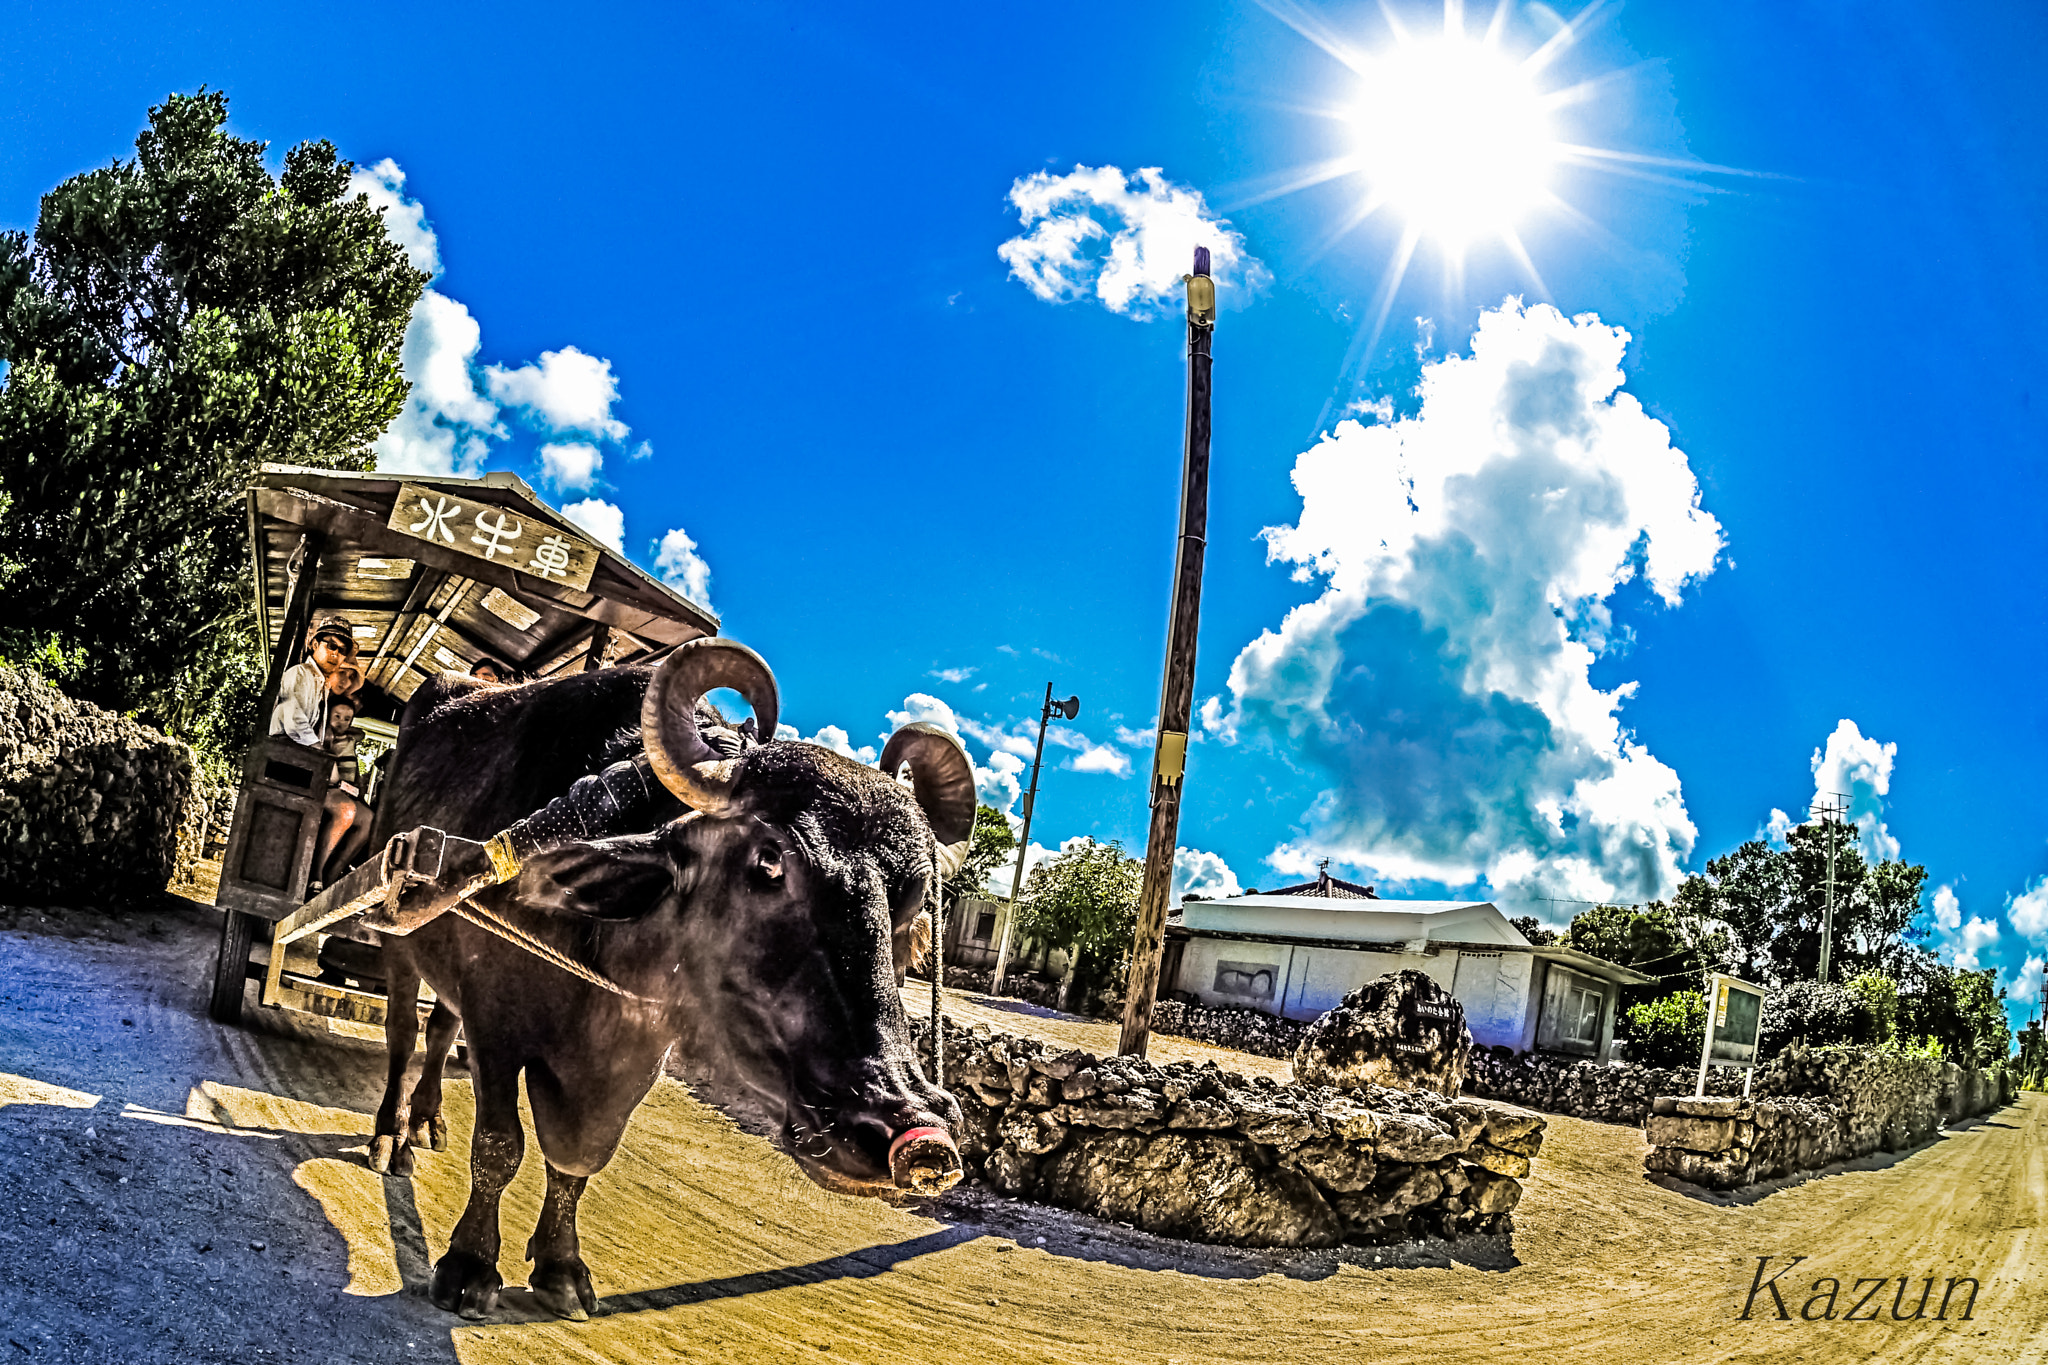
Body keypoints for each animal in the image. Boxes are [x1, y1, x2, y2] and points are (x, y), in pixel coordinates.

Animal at [366, 642, 966, 1326]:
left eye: (913, 901)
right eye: (769, 862)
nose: (918, 1134)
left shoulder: (639, 1054)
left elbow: (582, 1157)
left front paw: (561, 1267)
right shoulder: (497, 1027)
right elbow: (500, 1145)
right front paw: (469, 1266)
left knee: (440, 1030)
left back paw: (426, 1121)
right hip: (397, 942)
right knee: (403, 1033)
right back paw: (390, 1136)